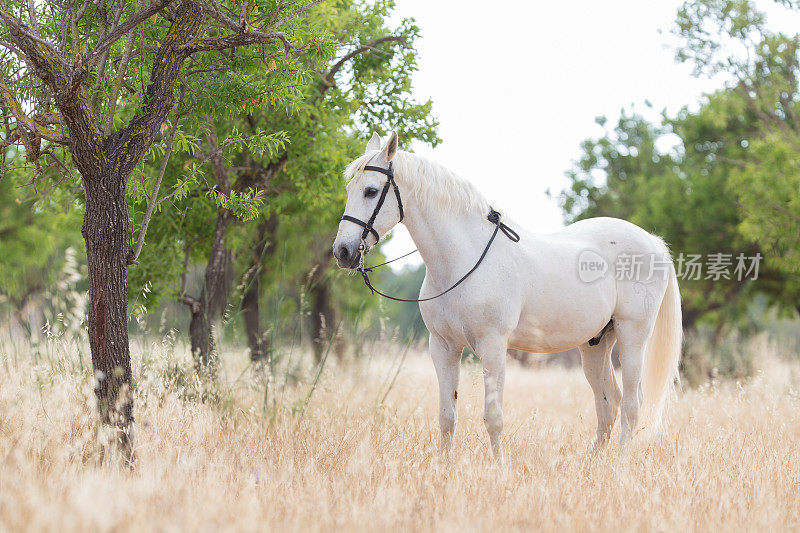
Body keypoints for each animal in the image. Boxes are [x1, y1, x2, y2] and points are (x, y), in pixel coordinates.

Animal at [332, 131, 680, 460]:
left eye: (371, 191)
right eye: (349, 189)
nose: (343, 252)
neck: (462, 259)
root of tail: (652, 241)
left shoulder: (493, 346)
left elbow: (493, 418)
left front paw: (500, 472)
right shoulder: (443, 347)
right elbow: (447, 416)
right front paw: (443, 470)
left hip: (632, 336)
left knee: (632, 405)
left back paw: (620, 466)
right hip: (595, 344)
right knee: (609, 403)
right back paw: (592, 467)